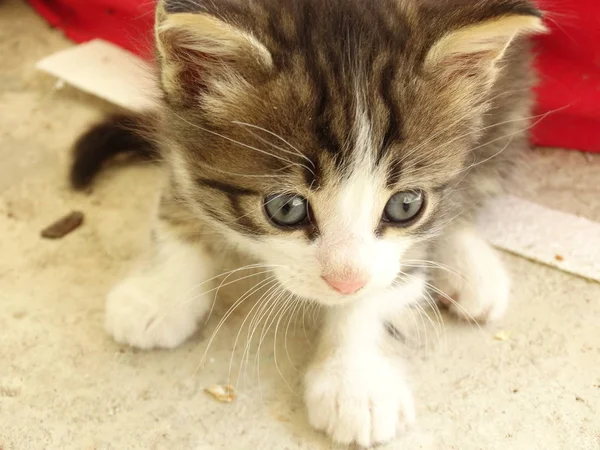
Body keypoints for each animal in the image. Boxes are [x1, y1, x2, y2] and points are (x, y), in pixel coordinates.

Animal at [70, 0, 544, 444]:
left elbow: (390, 279)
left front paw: (356, 382)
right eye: (286, 209)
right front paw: (160, 295)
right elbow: (178, 201)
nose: (346, 282)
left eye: (406, 205)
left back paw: (472, 270)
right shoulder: (178, 133)